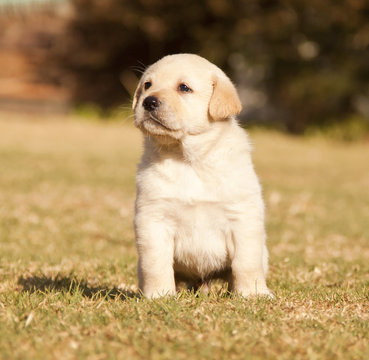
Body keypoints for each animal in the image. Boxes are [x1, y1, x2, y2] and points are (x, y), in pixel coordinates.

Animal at [132, 52, 270, 296]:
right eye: (147, 85)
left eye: (184, 88)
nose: (148, 101)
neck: (188, 159)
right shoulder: (153, 218)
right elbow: (155, 264)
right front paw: (159, 295)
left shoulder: (242, 217)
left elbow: (246, 263)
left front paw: (253, 294)